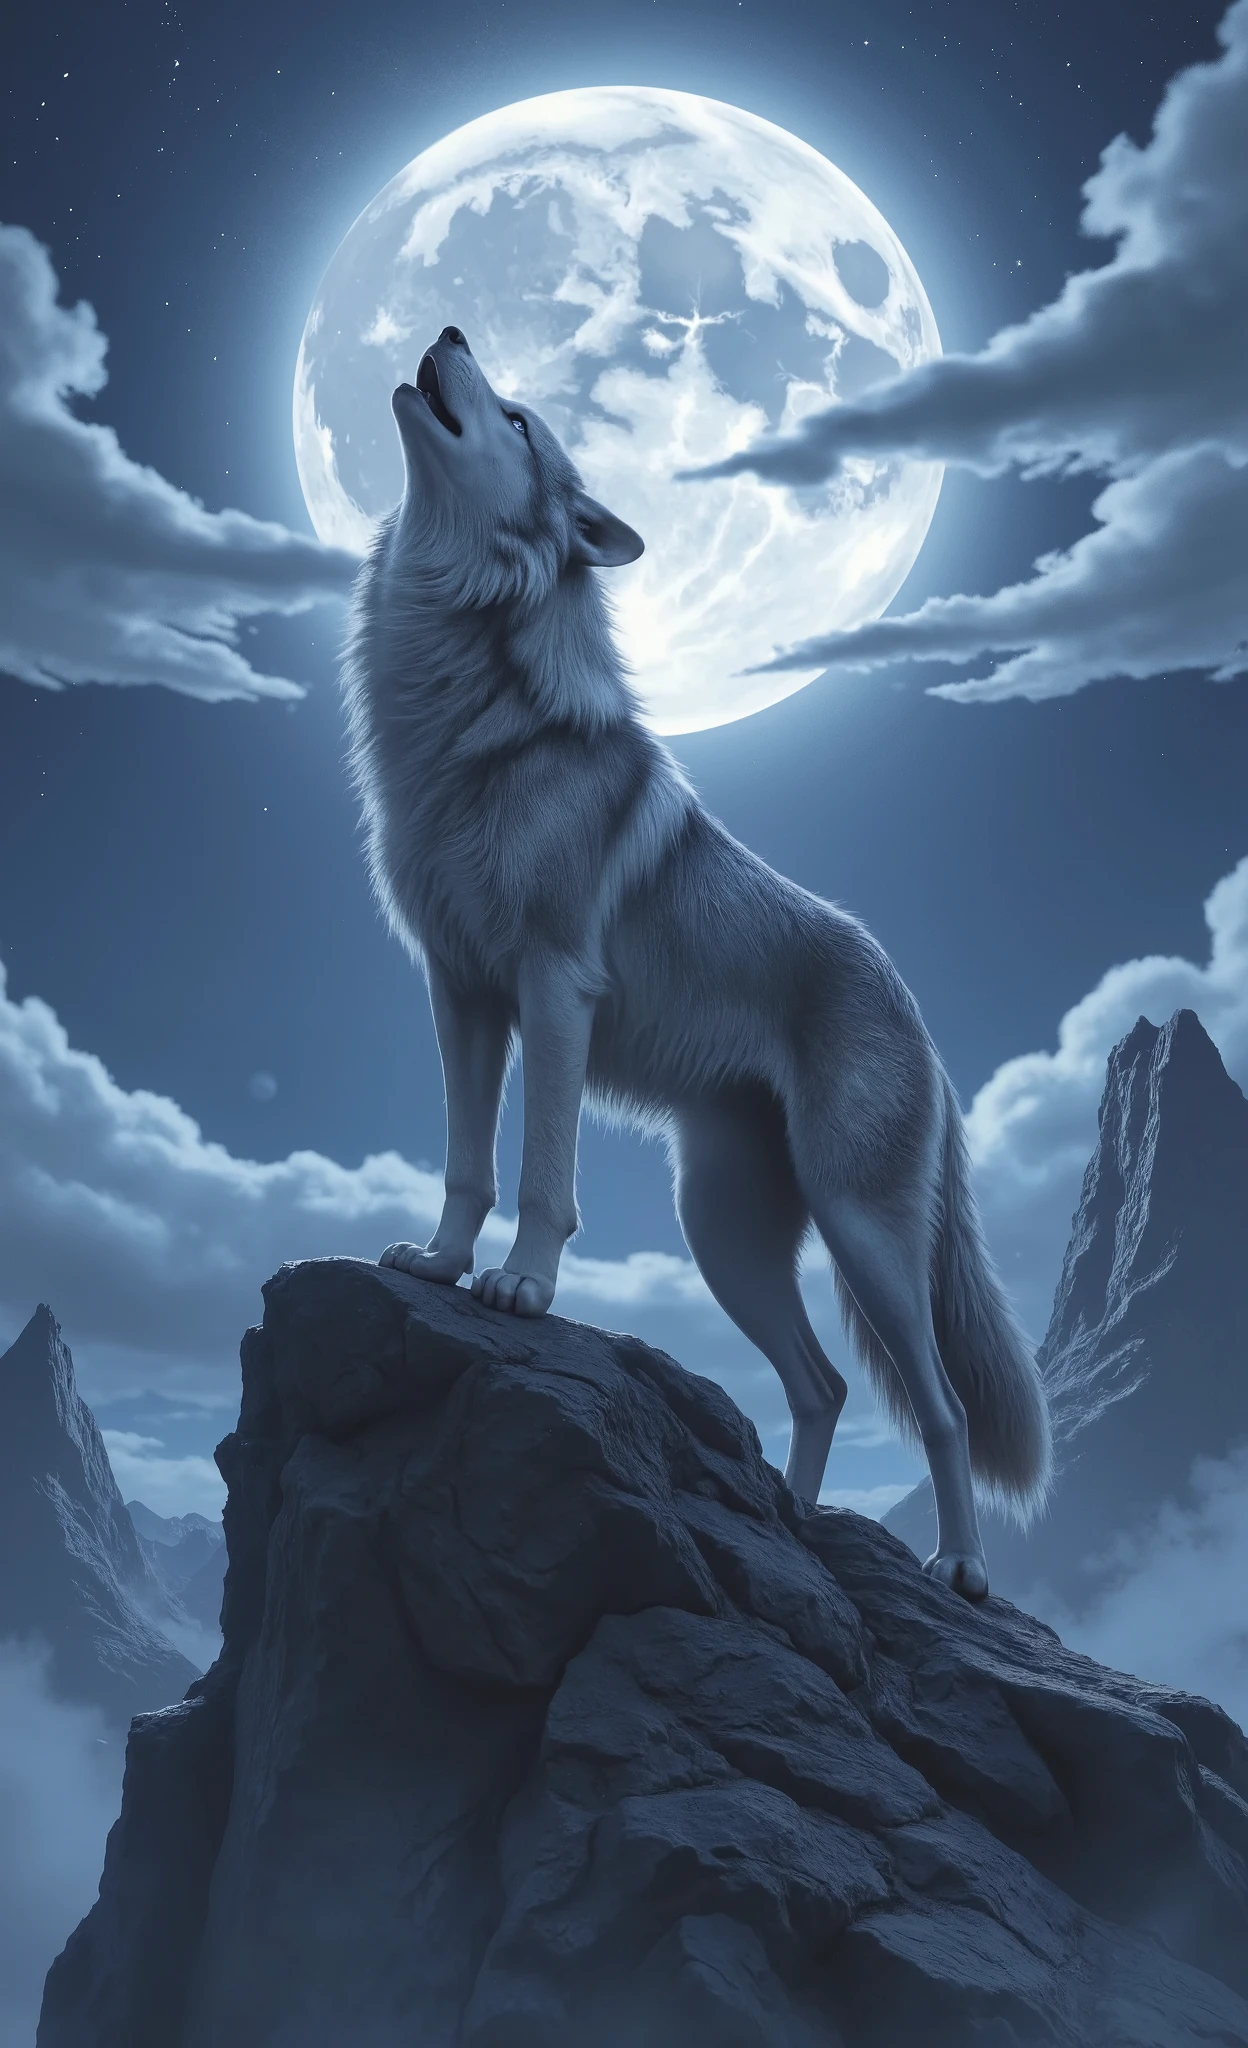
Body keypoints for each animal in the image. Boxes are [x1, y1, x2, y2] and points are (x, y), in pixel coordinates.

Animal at [343, 324, 1051, 1600]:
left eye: (516, 418)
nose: (450, 332)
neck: (474, 712)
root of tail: (916, 1009)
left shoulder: (551, 988)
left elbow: (542, 1175)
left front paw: (520, 1287)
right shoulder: (460, 992)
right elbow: (467, 1160)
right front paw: (439, 1262)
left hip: (863, 1236)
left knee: (944, 1408)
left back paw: (959, 1566)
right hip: (723, 1232)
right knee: (821, 1383)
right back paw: (794, 1523)